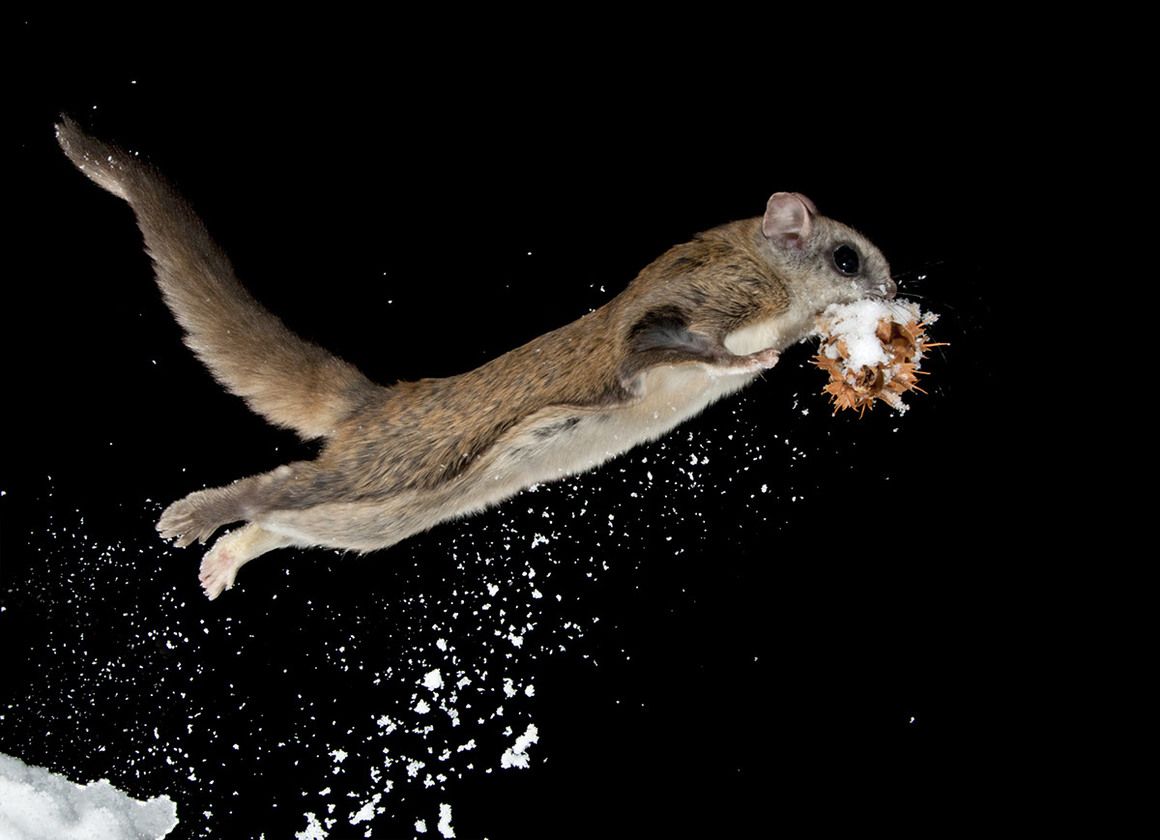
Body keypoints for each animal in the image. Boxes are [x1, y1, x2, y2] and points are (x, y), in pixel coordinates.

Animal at [56, 117, 897, 599]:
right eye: (849, 259)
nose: (895, 297)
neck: (764, 275)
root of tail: (376, 401)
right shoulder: (703, 299)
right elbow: (656, 346)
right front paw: (747, 365)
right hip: (389, 471)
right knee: (273, 488)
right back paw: (193, 517)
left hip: (381, 520)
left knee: (281, 520)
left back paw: (223, 562)